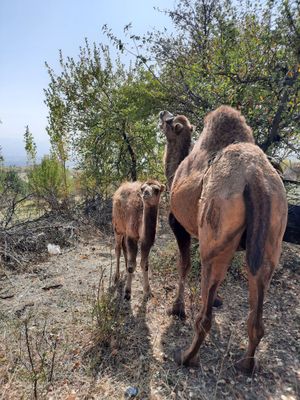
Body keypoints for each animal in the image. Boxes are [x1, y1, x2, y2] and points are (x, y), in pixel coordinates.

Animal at [159, 105, 288, 372]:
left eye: (169, 122)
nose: (162, 112)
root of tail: (256, 179)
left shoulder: (179, 224)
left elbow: (184, 264)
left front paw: (177, 309)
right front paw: (217, 299)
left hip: (216, 225)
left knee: (205, 313)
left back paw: (187, 357)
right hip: (272, 235)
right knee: (258, 297)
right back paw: (246, 364)